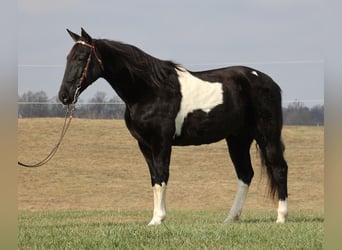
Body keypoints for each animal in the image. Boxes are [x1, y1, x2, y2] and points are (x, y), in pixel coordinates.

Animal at [59, 27, 288, 225]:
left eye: (81, 58)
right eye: (68, 58)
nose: (64, 96)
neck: (149, 90)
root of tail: (270, 83)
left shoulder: (161, 141)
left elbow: (162, 174)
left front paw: (158, 219)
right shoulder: (144, 144)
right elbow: (154, 178)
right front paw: (155, 218)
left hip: (267, 135)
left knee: (279, 168)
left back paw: (281, 217)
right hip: (237, 139)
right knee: (245, 174)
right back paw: (231, 218)